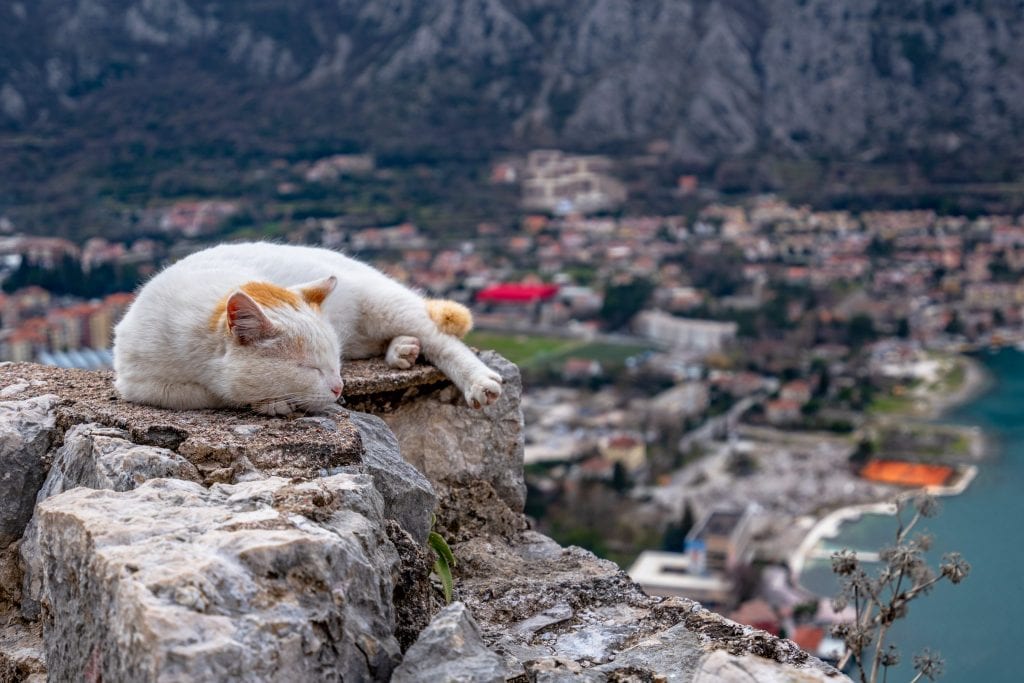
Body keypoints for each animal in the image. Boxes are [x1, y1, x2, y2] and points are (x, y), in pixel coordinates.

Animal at [114, 245, 501, 417]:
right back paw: (403, 350)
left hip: (384, 303)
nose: (340, 386)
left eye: (334, 364)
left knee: (442, 340)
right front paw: (271, 401)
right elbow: (202, 394)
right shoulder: (137, 381)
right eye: (309, 368)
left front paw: (271, 403)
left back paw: (477, 381)